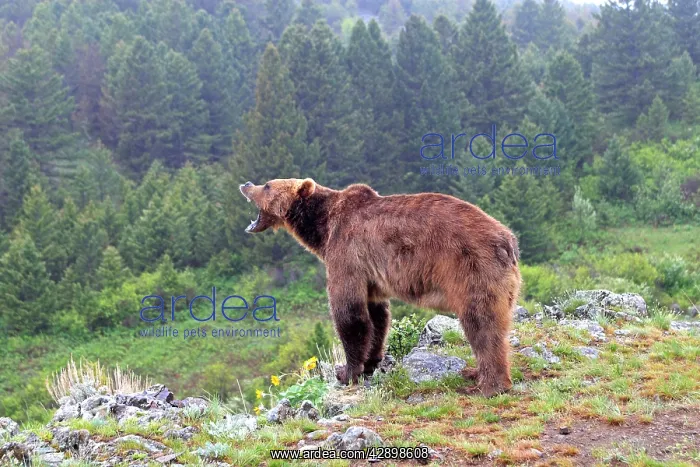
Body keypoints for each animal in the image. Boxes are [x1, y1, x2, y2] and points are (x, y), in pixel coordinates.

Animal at [239, 178, 521, 396]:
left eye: (267, 185)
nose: (246, 184)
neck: (322, 228)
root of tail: (507, 240)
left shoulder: (346, 251)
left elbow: (350, 313)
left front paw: (346, 372)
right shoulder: (371, 276)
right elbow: (377, 316)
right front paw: (371, 362)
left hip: (471, 268)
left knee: (481, 324)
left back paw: (490, 386)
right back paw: (475, 373)